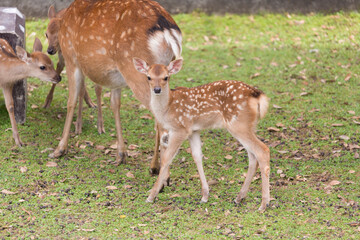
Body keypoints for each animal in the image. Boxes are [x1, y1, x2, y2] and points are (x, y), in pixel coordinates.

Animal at [134, 57, 272, 210]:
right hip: (248, 126)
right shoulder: (194, 130)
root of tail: (258, 96)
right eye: (149, 77)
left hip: (238, 124)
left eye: (166, 77)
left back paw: (264, 204)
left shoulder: (180, 129)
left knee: (262, 150)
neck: (167, 108)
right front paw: (205, 196)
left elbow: (166, 159)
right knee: (252, 156)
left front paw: (151, 196)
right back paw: (239, 197)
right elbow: (197, 157)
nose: (157, 89)